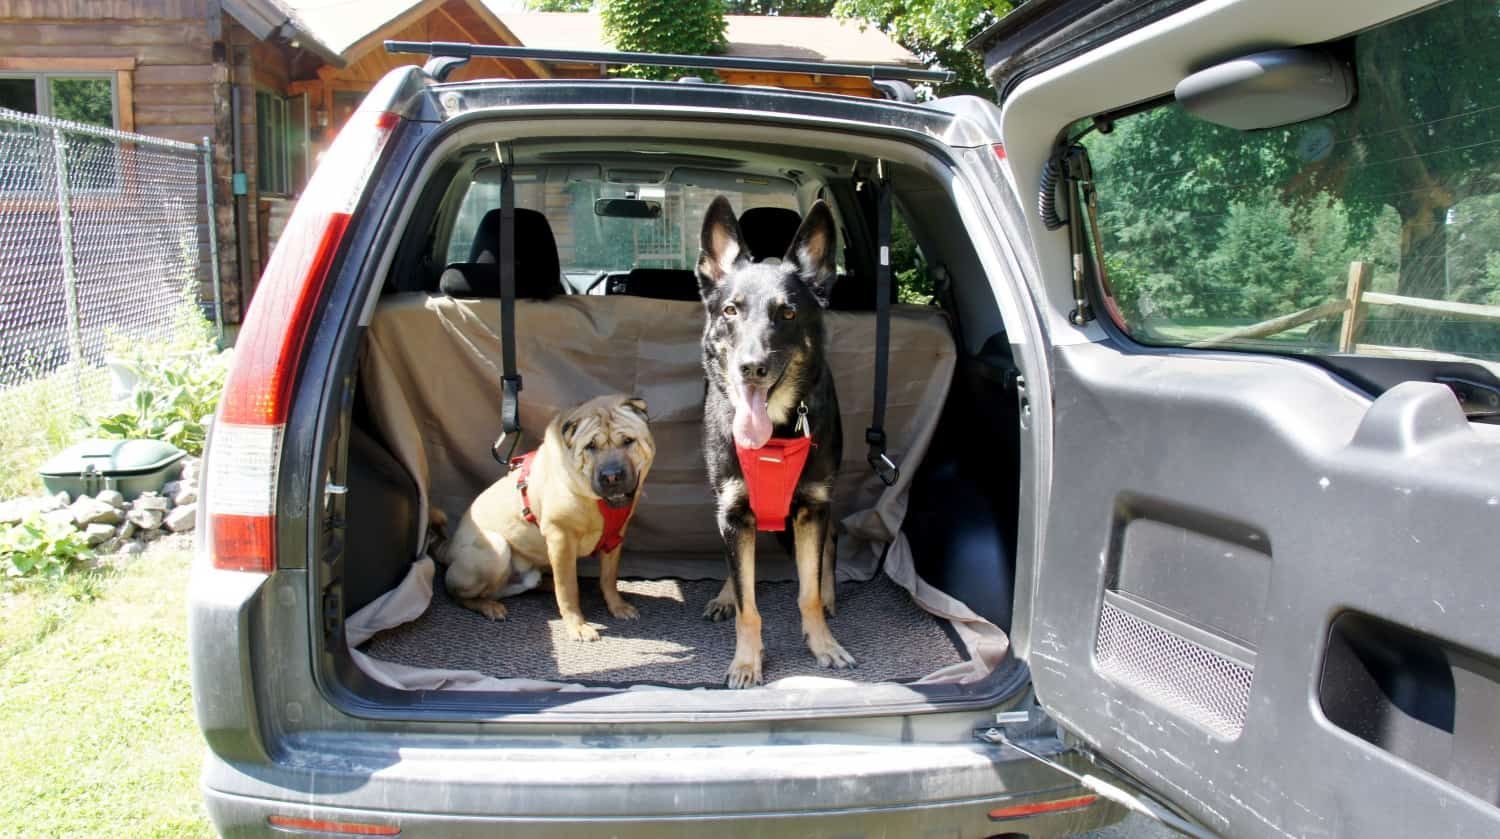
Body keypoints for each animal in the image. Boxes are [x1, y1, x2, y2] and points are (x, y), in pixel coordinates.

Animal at [441, 393, 660, 642]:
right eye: (590, 446)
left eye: (628, 441)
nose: (611, 476)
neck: (597, 502)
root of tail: (446, 549)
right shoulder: (561, 537)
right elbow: (567, 589)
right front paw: (577, 626)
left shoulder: (615, 537)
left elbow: (608, 577)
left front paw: (618, 606)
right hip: (496, 547)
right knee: (458, 593)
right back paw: (490, 606)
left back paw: (544, 583)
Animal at [693, 196, 858, 690]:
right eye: (731, 311)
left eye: (787, 313)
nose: (751, 368)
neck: (777, 433)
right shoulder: (732, 512)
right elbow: (749, 605)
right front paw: (747, 663)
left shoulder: (811, 508)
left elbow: (807, 591)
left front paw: (823, 644)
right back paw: (726, 595)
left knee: (831, 542)